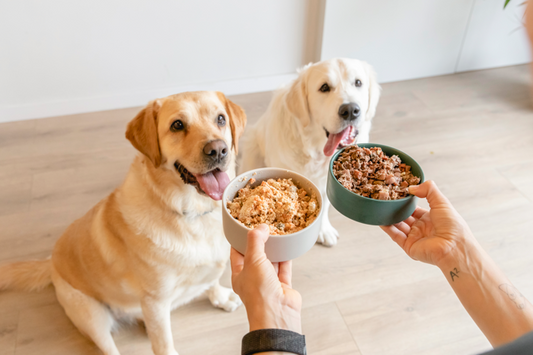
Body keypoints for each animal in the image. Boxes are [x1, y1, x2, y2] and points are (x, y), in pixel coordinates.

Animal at [0, 92, 245, 355]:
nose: (218, 150)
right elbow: (164, 344)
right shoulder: (155, 302)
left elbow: (211, 280)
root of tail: (51, 262)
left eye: (220, 119)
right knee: (108, 347)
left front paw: (220, 297)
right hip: (91, 315)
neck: (191, 212)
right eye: (177, 125)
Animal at [239, 58, 380, 248]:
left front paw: (324, 229)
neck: (317, 151)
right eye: (324, 87)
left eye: (358, 83)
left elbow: (325, 204)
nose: (350, 110)